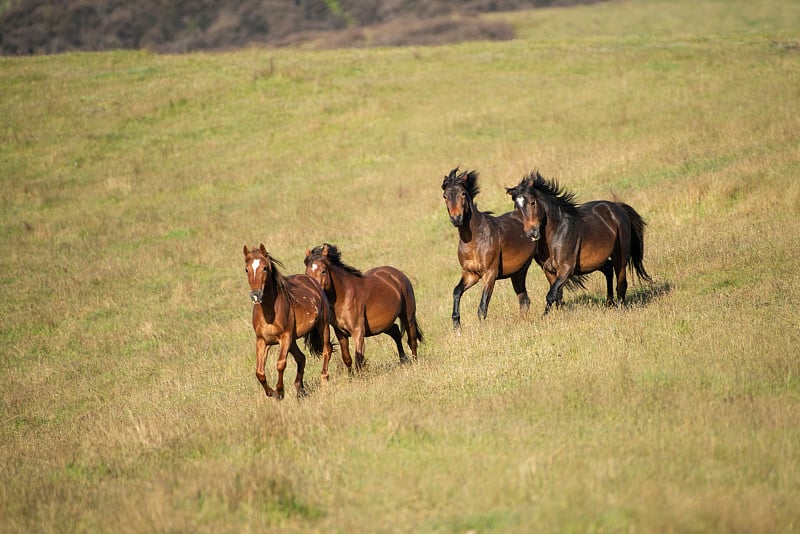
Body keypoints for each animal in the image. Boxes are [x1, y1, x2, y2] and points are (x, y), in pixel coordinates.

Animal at [241, 245, 334, 400]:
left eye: (264, 268)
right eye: (246, 269)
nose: (256, 295)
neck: (269, 314)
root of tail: (311, 280)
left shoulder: (285, 338)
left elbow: (280, 363)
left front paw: (279, 391)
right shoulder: (262, 340)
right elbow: (259, 371)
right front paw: (271, 392)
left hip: (323, 325)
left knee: (327, 350)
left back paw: (324, 379)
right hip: (293, 340)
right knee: (301, 358)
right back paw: (300, 389)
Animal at [304, 244, 422, 372]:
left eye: (323, 271)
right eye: (307, 274)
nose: (316, 293)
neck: (344, 296)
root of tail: (398, 275)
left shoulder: (358, 331)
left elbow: (358, 360)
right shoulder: (340, 333)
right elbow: (347, 358)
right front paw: (351, 376)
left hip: (408, 317)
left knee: (412, 341)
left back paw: (415, 364)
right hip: (382, 325)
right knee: (395, 332)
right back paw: (403, 360)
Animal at [440, 168, 536, 328]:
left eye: (463, 193)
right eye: (445, 196)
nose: (456, 218)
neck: (474, 241)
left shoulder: (490, 274)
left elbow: (483, 306)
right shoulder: (470, 274)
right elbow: (456, 292)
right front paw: (457, 325)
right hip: (518, 272)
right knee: (524, 300)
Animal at [506, 170, 656, 316]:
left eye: (532, 202)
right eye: (516, 207)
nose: (531, 233)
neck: (556, 233)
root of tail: (618, 207)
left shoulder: (566, 269)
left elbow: (551, 295)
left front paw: (544, 316)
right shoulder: (549, 270)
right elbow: (557, 294)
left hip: (620, 255)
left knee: (621, 282)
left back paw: (618, 307)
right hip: (594, 262)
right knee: (608, 269)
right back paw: (609, 303)